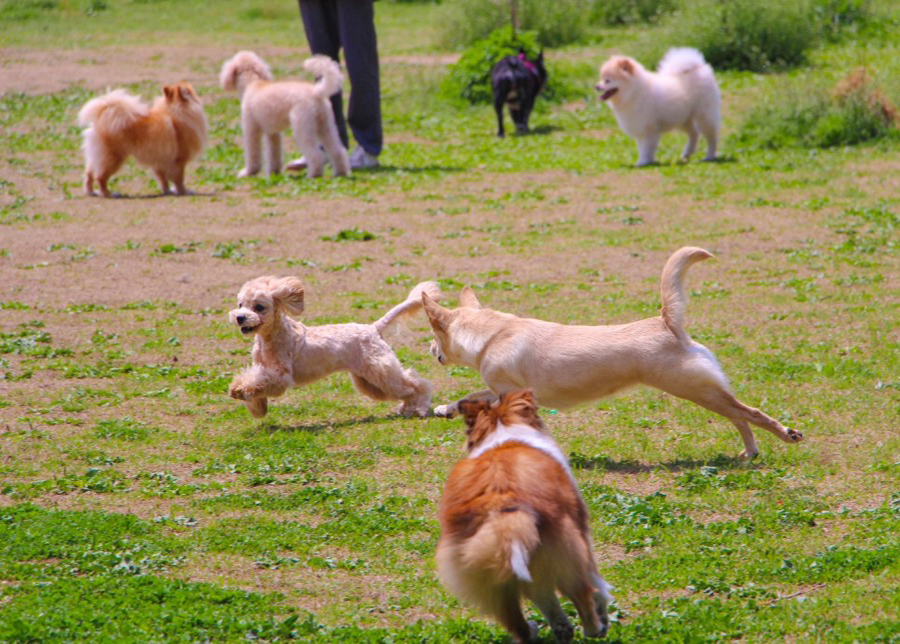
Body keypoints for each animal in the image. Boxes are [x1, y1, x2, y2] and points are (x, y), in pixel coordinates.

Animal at [77, 83, 207, 199]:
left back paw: (91, 192)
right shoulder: (179, 160)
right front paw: (183, 191)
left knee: (89, 174)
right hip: (113, 158)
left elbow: (163, 178)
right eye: (191, 91)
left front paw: (168, 191)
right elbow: (179, 179)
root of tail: (100, 119)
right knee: (100, 177)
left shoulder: (160, 160)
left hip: (95, 156)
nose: (196, 94)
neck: (174, 112)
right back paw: (108, 194)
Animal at [220, 51, 350, 179]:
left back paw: (313, 175)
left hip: (303, 126)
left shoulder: (251, 129)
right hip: (326, 125)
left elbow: (253, 153)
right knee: (337, 151)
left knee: (316, 154)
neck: (252, 83)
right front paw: (274, 172)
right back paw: (340, 173)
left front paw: (248, 172)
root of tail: (316, 92)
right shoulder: (273, 133)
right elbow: (274, 153)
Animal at [225, 276, 436, 418]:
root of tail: (374, 327)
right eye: (241, 304)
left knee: (417, 385)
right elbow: (254, 381)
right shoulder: (261, 367)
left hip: (381, 370)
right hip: (369, 381)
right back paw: (407, 408)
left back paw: (421, 407)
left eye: (259, 307)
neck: (269, 337)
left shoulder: (280, 375)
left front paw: (239, 389)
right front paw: (256, 406)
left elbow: (258, 381)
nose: (240, 317)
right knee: (406, 389)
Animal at [426, 244, 804, 460]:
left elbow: (480, 399)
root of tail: (666, 322)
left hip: (694, 389)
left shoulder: (507, 392)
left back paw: (786, 435)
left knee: (751, 413)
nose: (429, 349)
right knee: (740, 417)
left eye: (433, 335)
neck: (492, 334)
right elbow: (469, 396)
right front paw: (445, 408)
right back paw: (750, 452)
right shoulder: (497, 390)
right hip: (705, 392)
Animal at [436, 390, 612, 640]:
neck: (502, 431)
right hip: (568, 551)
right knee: (583, 595)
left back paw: (543, 629)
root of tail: (503, 508)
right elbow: (596, 586)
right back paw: (595, 629)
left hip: (492, 577)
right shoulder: (582, 533)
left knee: (519, 623)